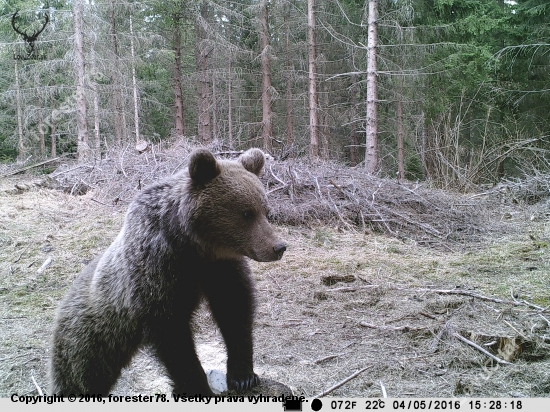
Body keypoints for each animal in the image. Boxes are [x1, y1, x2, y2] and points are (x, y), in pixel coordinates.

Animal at [49, 148, 286, 396]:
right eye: (247, 213)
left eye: (265, 210)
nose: (278, 247)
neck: (193, 246)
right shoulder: (157, 271)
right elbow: (173, 336)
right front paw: (197, 387)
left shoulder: (220, 267)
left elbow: (234, 310)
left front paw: (244, 376)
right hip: (90, 337)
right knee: (81, 377)